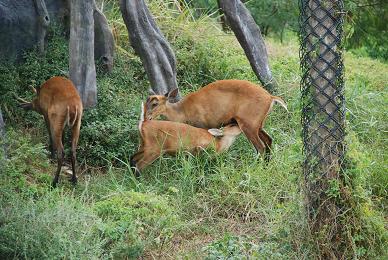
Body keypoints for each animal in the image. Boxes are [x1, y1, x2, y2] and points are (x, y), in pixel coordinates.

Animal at [146, 79, 288, 160]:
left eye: (155, 104)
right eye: (146, 101)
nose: (147, 117)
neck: (181, 112)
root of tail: (270, 97)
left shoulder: (202, 124)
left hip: (248, 124)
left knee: (260, 147)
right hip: (258, 124)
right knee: (269, 140)